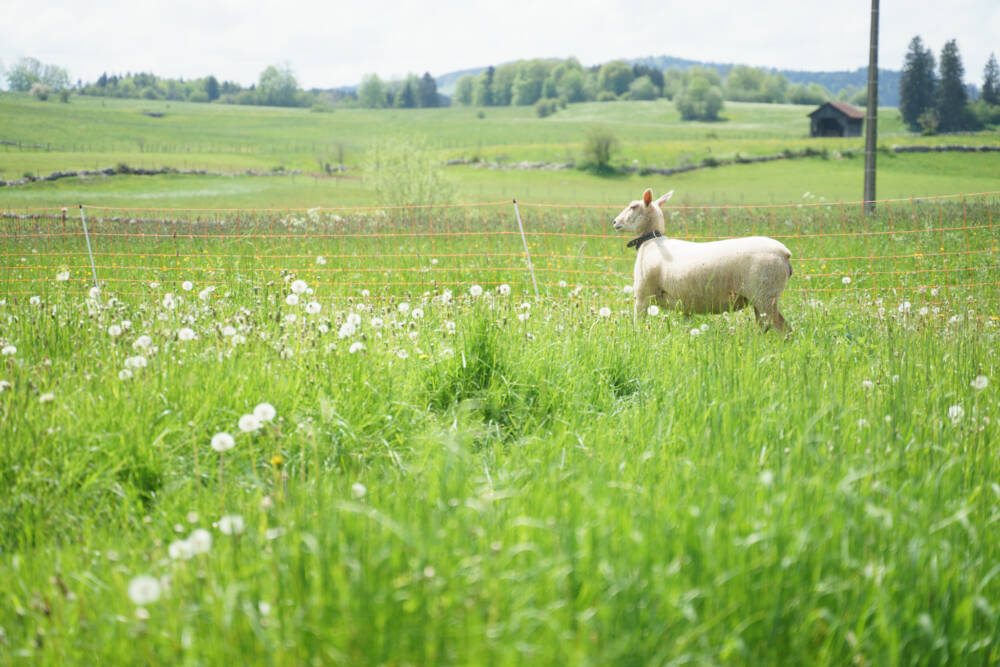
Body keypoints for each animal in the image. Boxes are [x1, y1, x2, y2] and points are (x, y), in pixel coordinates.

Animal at [612, 189, 792, 332]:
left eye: (633, 206)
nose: (614, 222)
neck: (650, 243)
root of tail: (785, 253)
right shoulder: (685, 303)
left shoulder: (643, 295)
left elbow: (638, 323)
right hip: (761, 298)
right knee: (765, 326)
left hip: (765, 294)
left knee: (783, 328)